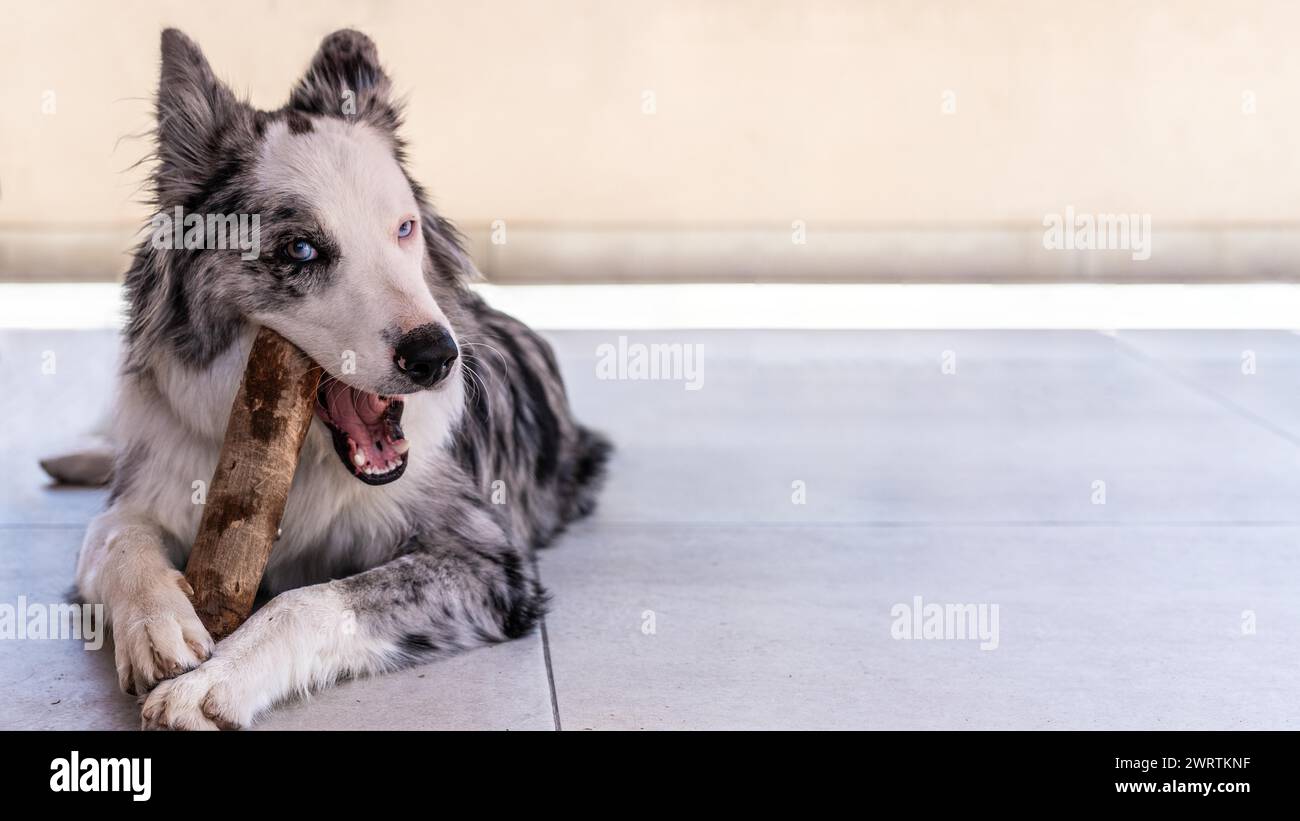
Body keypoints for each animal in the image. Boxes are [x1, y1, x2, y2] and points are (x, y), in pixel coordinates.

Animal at [53, 28, 611, 727]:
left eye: (404, 229)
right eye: (301, 250)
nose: (438, 358)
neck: (308, 466)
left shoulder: (486, 562)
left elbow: (309, 599)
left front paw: (212, 683)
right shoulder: (152, 487)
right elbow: (112, 534)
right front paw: (157, 624)